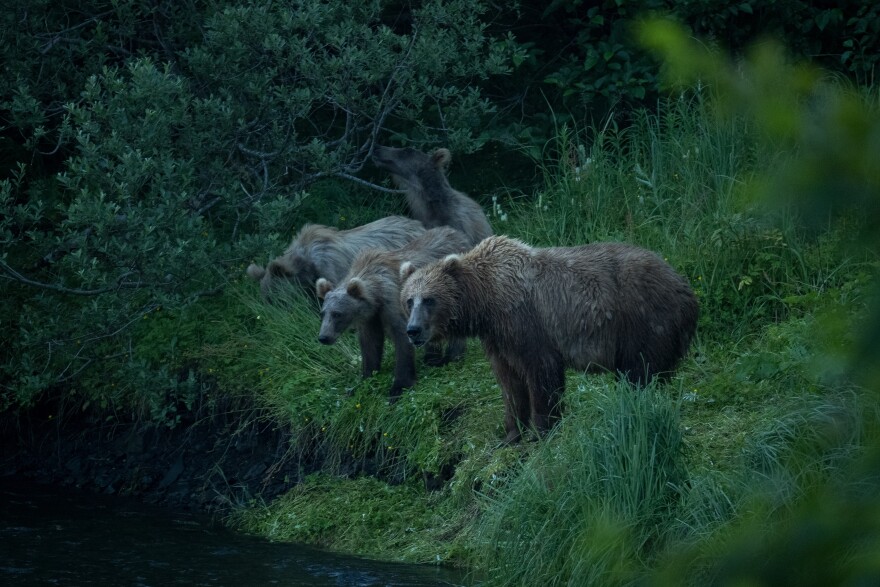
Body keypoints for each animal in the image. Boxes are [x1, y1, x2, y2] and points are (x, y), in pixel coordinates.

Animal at [315, 227, 472, 401]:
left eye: (337, 314)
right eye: (323, 313)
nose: (323, 337)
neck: (376, 294)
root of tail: (457, 233)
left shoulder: (392, 301)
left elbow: (401, 338)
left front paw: (398, 387)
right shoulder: (370, 317)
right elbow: (370, 344)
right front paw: (362, 381)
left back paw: (451, 357)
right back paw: (431, 357)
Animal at [399, 235, 699, 443]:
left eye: (430, 299)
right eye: (409, 300)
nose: (412, 330)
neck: (485, 304)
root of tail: (683, 285)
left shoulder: (525, 322)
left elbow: (541, 372)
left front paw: (541, 429)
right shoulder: (498, 339)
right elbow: (509, 384)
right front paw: (510, 434)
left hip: (642, 319)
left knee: (640, 369)